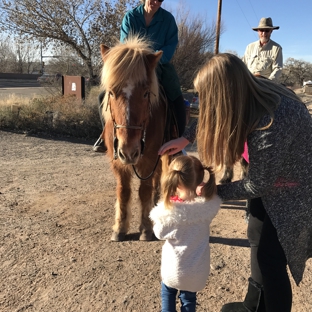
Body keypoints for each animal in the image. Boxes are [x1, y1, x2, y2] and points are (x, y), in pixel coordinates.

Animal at [99, 36, 168, 241]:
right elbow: (124, 192)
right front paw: (119, 228)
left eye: (145, 93)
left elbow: (144, 191)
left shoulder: (148, 160)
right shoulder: (118, 162)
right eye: (111, 92)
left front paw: (145, 228)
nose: (129, 151)